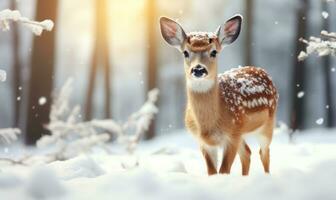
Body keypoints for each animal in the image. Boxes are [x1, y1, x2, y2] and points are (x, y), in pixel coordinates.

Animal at [159, 14, 278, 176]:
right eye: (185, 52)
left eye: (214, 52)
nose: (198, 69)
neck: (209, 126)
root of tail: (261, 70)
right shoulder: (203, 141)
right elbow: (212, 171)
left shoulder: (232, 135)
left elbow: (224, 170)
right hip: (242, 133)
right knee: (247, 153)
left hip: (267, 124)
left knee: (264, 153)